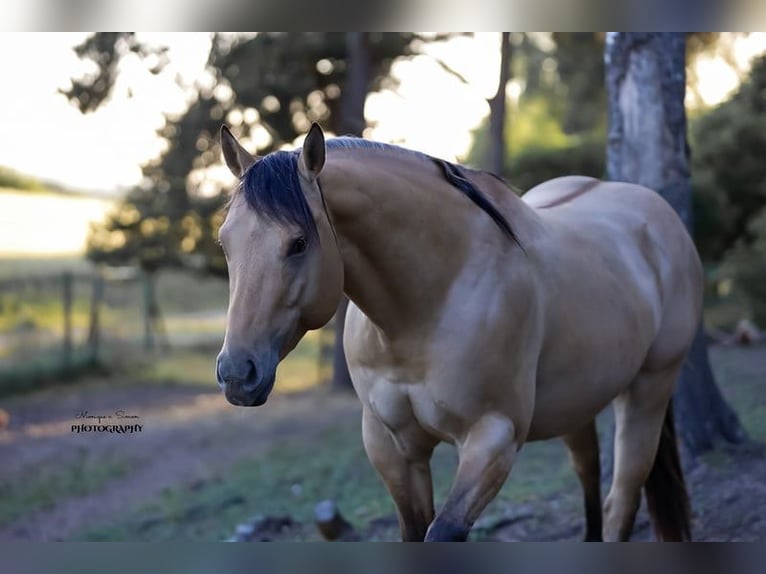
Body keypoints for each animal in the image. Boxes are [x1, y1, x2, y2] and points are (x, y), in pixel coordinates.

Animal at [215, 122, 703, 542]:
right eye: (224, 241)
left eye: (298, 243)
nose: (237, 373)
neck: (427, 305)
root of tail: (655, 213)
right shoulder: (392, 447)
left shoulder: (493, 439)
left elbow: (443, 531)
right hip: (578, 403)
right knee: (590, 477)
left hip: (648, 390)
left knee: (622, 499)